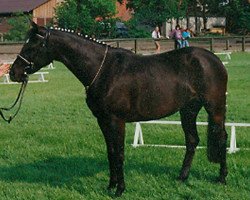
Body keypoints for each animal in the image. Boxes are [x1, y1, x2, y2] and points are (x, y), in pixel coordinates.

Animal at [9, 22, 229, 197]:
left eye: (32, 45)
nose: (13, 73)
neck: (103, 70)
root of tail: (214, 59)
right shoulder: (103, 121)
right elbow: (111, 152)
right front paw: (110, 185)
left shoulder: (117, 121)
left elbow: (120, 153)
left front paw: (120, 189)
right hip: (188, 110)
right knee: (192, 140)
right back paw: (182, 177)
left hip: (215, 108)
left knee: (221, 137)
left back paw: (222, 178)